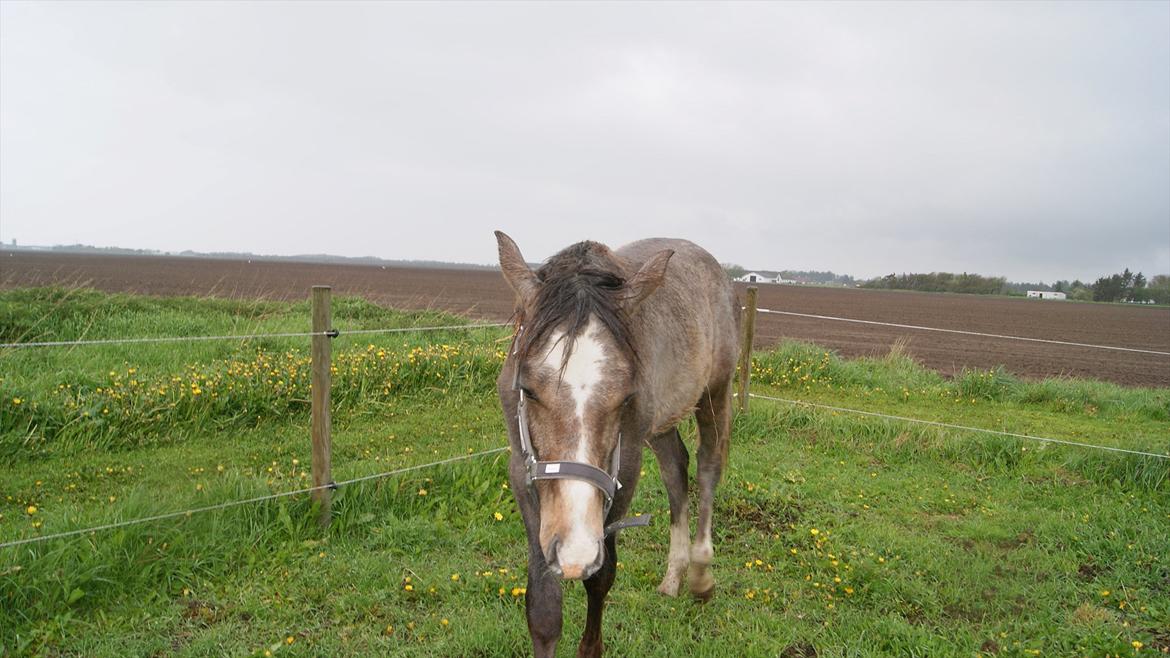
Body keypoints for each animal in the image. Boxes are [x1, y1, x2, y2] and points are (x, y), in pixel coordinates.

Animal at [493, 231, 739, 655]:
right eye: (528, 389)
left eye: (624, 396)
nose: (574, 551)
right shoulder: (522, 471)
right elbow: (543, 605)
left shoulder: (625, 468)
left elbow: (601, 578)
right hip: (660, 426)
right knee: (676, 469)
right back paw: (673, 577)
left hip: (714, 393)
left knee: (708, 467)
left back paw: (700, 575)